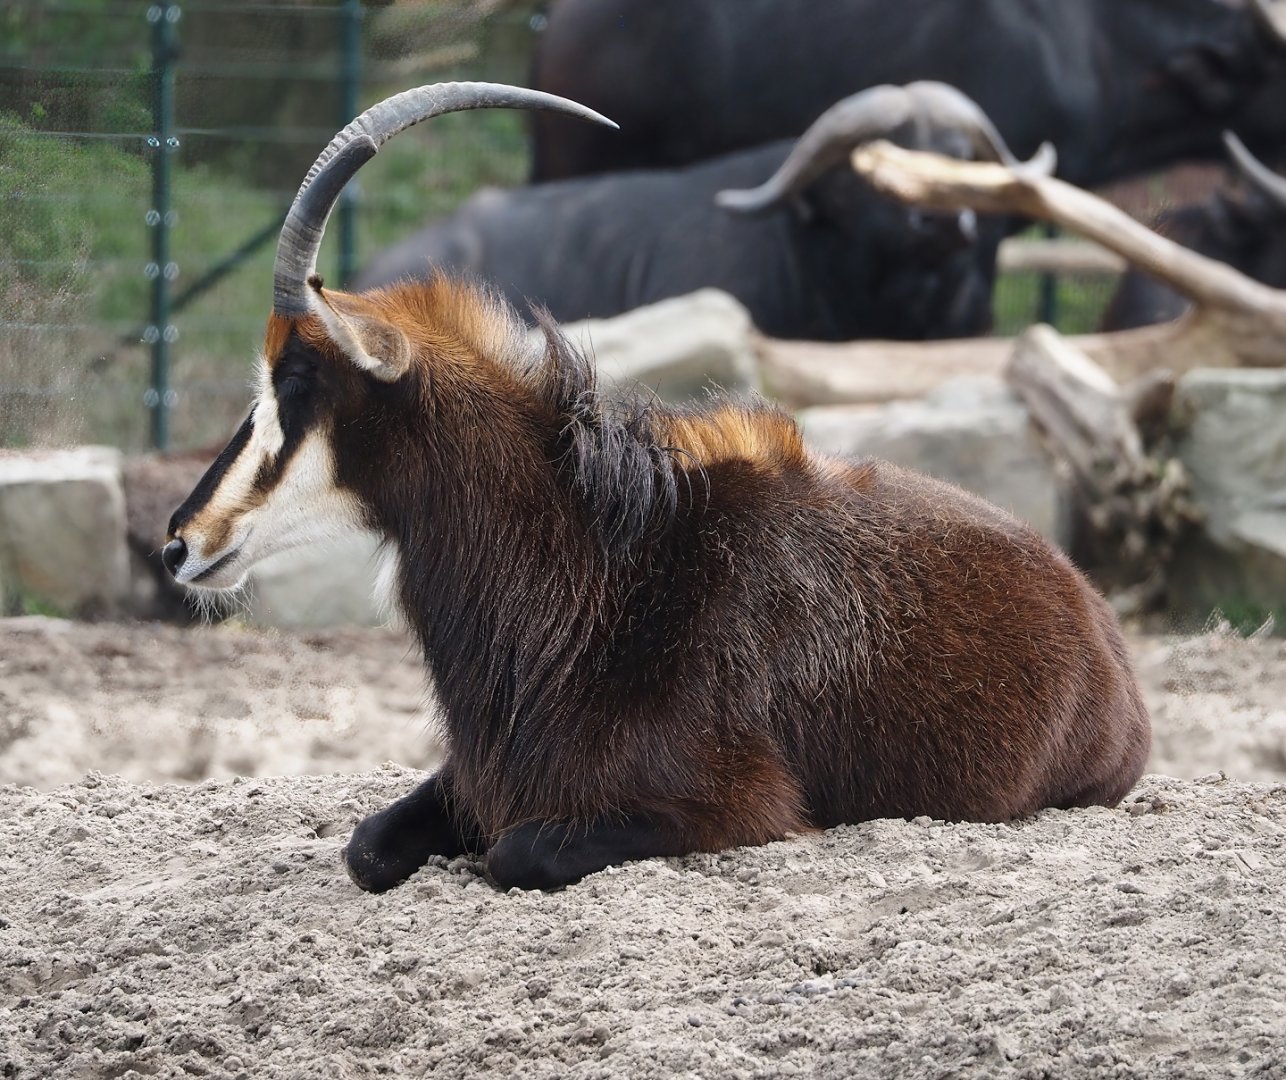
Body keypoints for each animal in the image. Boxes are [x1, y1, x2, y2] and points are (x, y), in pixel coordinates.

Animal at [163, 82, 1151, 893]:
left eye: (299, 381)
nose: (179, 541)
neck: (599, 569)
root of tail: (1095, 615)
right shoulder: (481, 774)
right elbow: (366, 848)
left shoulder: (732, 805)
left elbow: (516, 852)